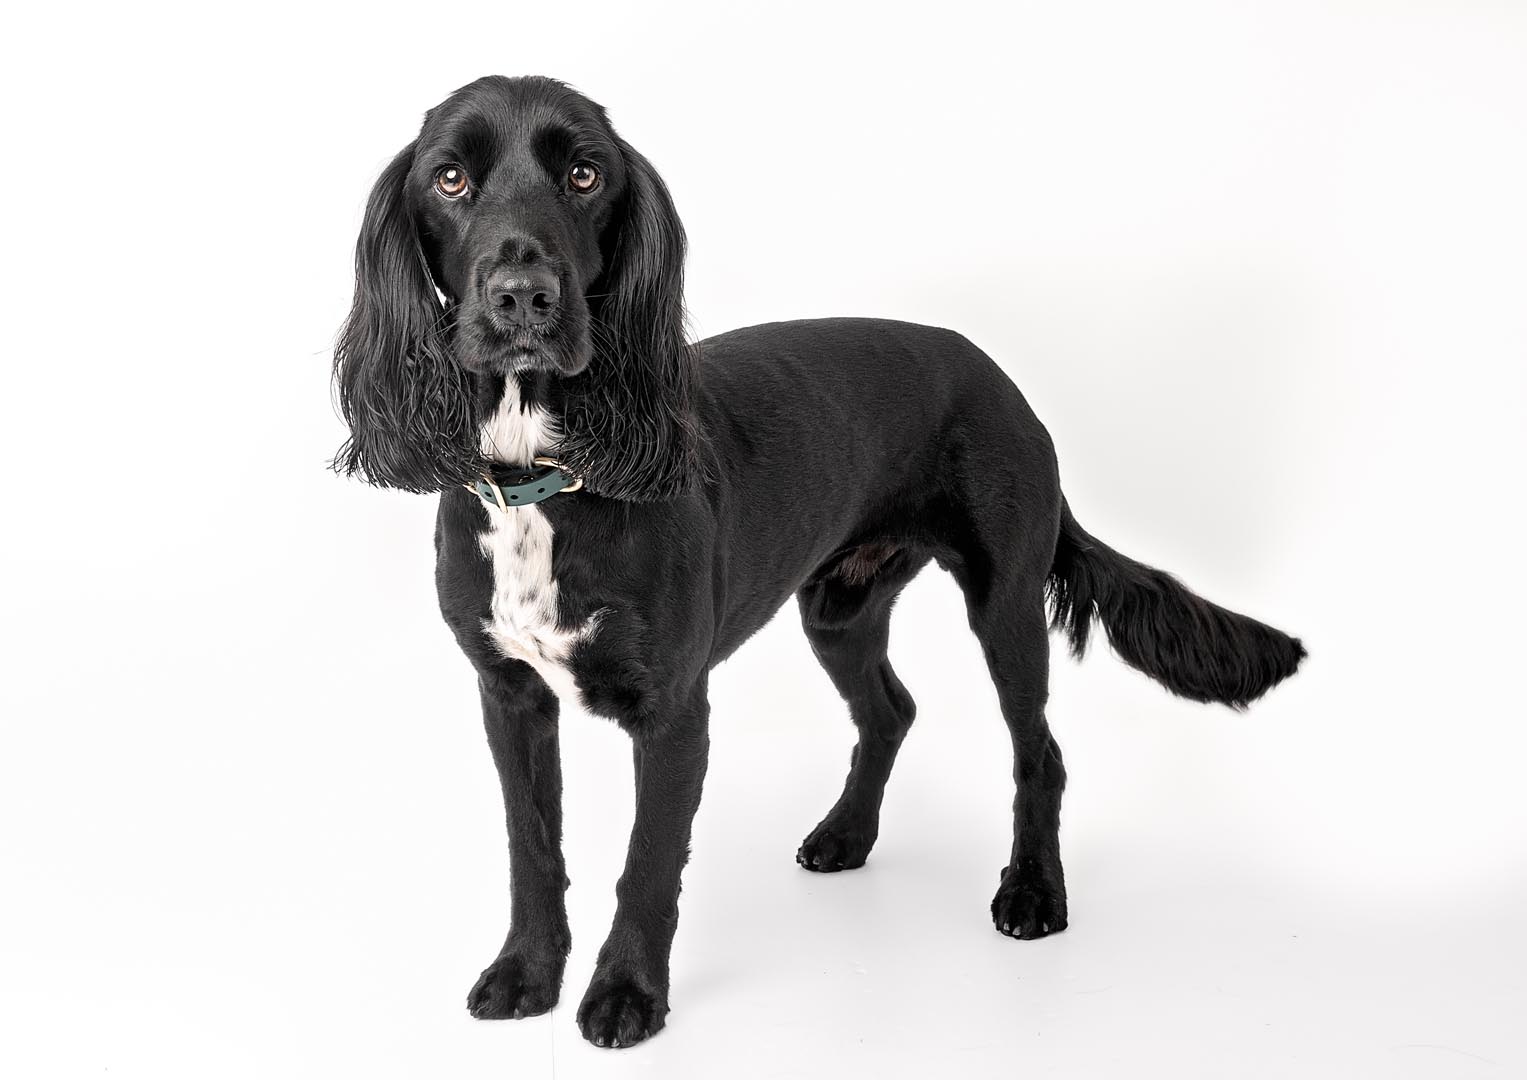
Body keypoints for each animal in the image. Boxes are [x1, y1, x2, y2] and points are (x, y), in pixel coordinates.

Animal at [331, 74, 1301, 1044]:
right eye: (450, 179)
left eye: (583, 175)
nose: (522, 295)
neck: (545, 476)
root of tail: (1003, 381)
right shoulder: (509, 694)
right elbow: (531, 848)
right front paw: (526, 972)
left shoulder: (675, 711)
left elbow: (648, 863)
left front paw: (626, 994)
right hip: (838, 607)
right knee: (890, 712)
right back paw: (847, 836)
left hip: (1005, 599)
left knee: (1039, 751)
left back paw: (1031, 892)